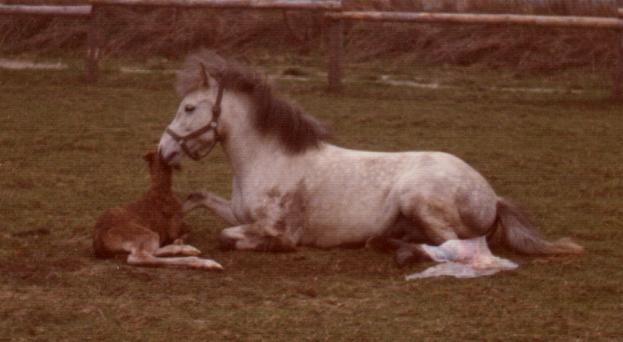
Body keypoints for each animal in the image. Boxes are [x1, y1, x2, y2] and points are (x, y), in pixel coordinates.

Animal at [91, 151, 222, 272]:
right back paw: (208, 263)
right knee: (139, 257)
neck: (161, 188)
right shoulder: (176, 224)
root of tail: (100, 243)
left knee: (152, 251)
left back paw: (190, 250)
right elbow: (186, 229)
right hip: (146, 235)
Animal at [158, 49, 584, 268]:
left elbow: (229, 237)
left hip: (419, 200)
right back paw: (387, 244)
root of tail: (492, 196)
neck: (271, 159)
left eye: (190, 108)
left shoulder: (276, 229)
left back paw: (402, 254)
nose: (164, 151)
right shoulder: (236, 210)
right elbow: (197, 198)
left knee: (456, 248)